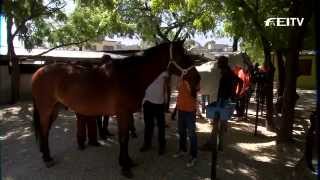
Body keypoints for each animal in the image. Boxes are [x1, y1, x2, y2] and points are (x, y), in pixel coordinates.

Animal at [31, 40, 198, 177]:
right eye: (182, 56)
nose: (196, 78)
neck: (130, 76)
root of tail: (39, 72)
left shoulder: (126, 113)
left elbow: (125, 137)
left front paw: (128, 162)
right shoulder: (122, 113)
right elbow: (123, 138)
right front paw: (125, 167)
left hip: (54, 109)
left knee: (45, 130)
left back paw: (45, 155)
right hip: (46, 109)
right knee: (44, 130)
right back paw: (47, 158)